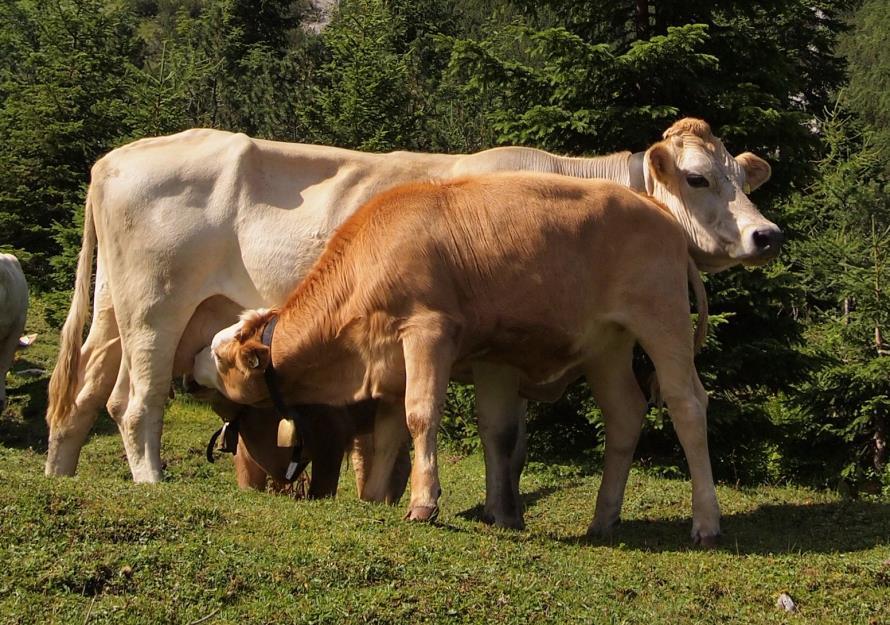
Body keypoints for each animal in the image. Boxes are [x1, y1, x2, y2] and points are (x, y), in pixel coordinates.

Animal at [193, 167, 720, 540]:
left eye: (221, 357)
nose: (192, 361)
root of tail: (658, 211)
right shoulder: (395, 364)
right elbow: (391, 435)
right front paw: (376, 500)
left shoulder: (428, 330)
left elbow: (421, 415)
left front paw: (424, 503)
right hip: (607, 345)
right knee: (625, 413)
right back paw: (603, 519)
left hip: (662, 318)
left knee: (687, 404)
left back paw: (705, 522)